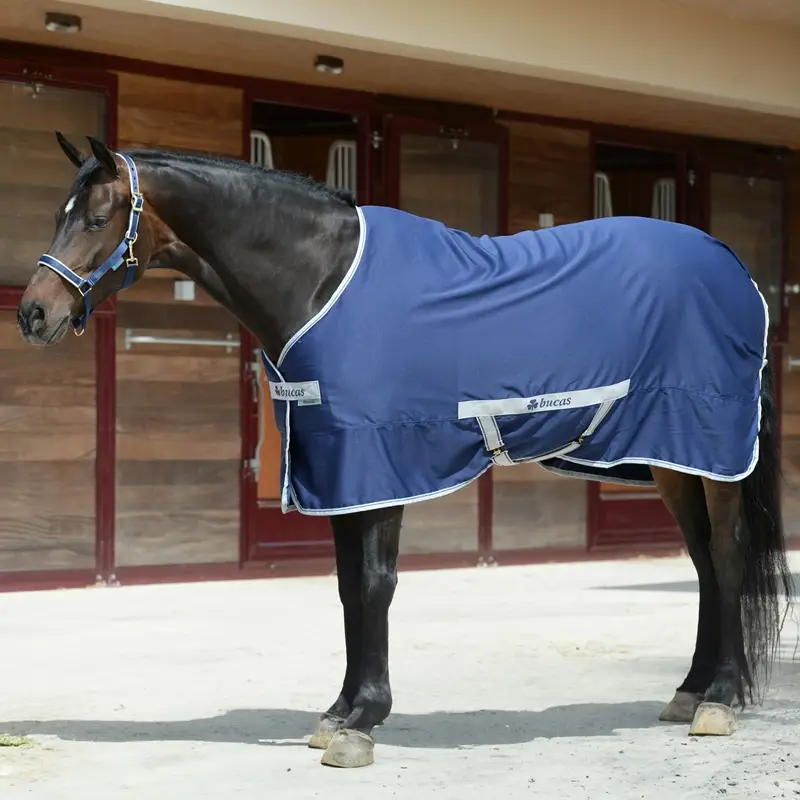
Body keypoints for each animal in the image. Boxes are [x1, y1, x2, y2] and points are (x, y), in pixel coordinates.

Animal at [17, 132, 794, 769]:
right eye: (57, 213)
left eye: (97, 218)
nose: (33, 313)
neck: (321, 279)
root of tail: (736, 267)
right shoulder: (338, 471)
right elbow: (345, 588)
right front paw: (340, 711)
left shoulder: (380, 464)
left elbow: (374, 584)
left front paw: (363, 721)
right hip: (674, 461)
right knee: (703, 563)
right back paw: (689, 691)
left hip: (711, 452)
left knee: (727, 556)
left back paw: (719, 700)